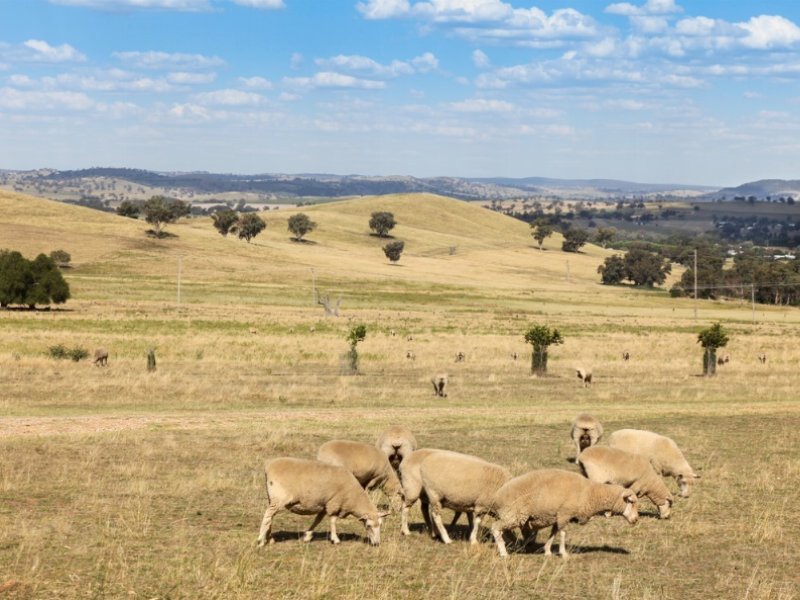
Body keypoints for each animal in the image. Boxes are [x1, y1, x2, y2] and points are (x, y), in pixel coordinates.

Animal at [256, 458, 388, 548]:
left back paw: (270, 539)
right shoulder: (334, 503)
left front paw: (307, 536)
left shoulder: (324, 504)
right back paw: (261, 540)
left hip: (273, 498)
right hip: (279, 498)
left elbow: (317, 520)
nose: (377, 543)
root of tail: (268, 466)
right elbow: (333, 521)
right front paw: (335, 539)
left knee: (270, 518)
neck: (353, 497)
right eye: (368, 526)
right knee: (267, 516)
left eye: (380, 525)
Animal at [488, 468, 636, 556]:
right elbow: (563, 533)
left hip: (511, 515)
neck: (589, 492)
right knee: (495, 528)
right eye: (632, 502)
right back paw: (504, 553)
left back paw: (513, 546)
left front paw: (547, 551)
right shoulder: (565, 513)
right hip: (514, 514)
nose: (636, 520)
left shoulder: (557, 516)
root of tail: (497, 496)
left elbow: (553, 533)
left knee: (504, 530)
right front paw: (563, 553)